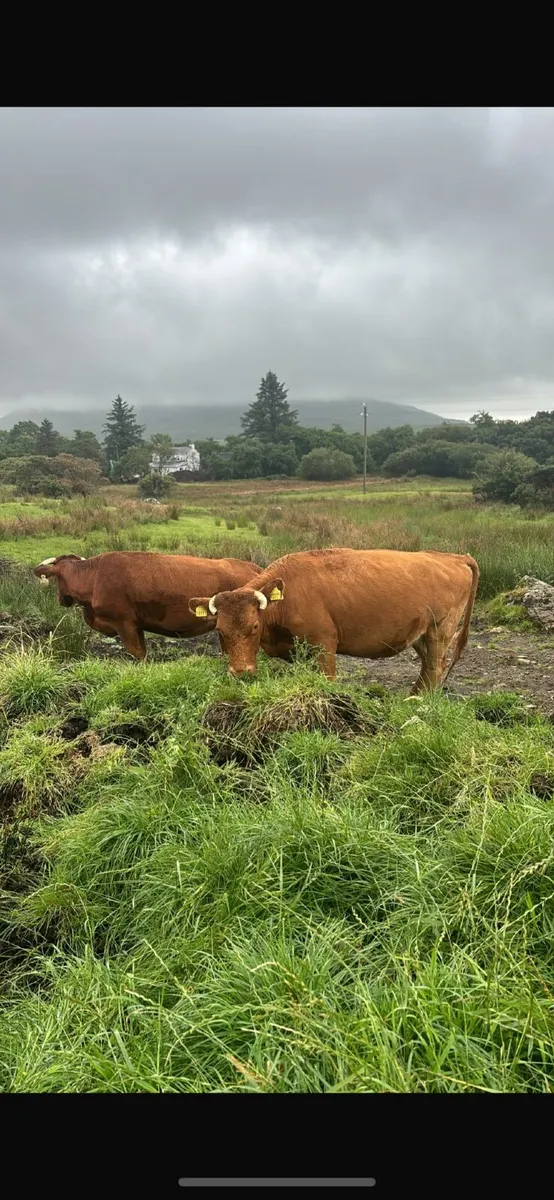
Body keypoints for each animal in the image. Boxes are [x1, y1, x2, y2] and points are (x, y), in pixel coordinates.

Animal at [33, 551, 262, 661]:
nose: (61, 600)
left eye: (56, 579)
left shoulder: (124, 623)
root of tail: (251, 566)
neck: (94, 576)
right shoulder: (137, 625)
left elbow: (138, 654)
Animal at [188, 547, 480, 691]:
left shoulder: (323, 646)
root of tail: (454, 557)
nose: (240, 672)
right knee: (428, 668)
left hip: (439, 631)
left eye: (255, 626)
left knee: (435, 668)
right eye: (220, 631)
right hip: (421, 635)